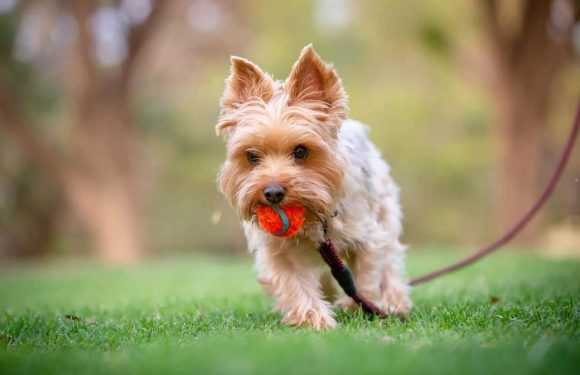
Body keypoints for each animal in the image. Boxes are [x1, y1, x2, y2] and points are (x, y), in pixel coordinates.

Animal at [215, 45, 410, 330]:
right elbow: (293, 282)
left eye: (301, 151)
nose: (272, 193)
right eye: (252, 156)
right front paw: (312, 318)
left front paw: (359, 305)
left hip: (386, 211)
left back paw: (395, 301)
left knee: (390, 261)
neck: (311, 217)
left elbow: (367, 273)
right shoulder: (278, 249)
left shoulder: (367, 235)